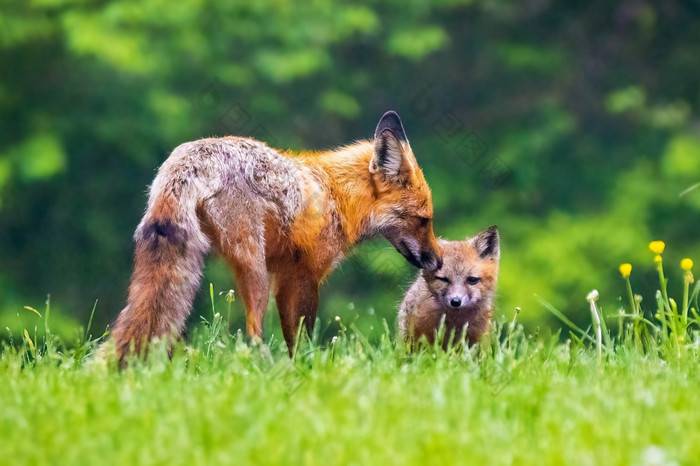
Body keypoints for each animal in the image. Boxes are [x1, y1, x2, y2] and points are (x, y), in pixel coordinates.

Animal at [112, 111, 440, 358]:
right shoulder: (304, 275)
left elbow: (293, 341)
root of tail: (192, 156)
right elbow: (302, 340)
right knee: (254, 334)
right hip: (253, 271)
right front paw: (306, 373)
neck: (336, 195)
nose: (437, 261)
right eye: (424, 220)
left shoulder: (285, 277)